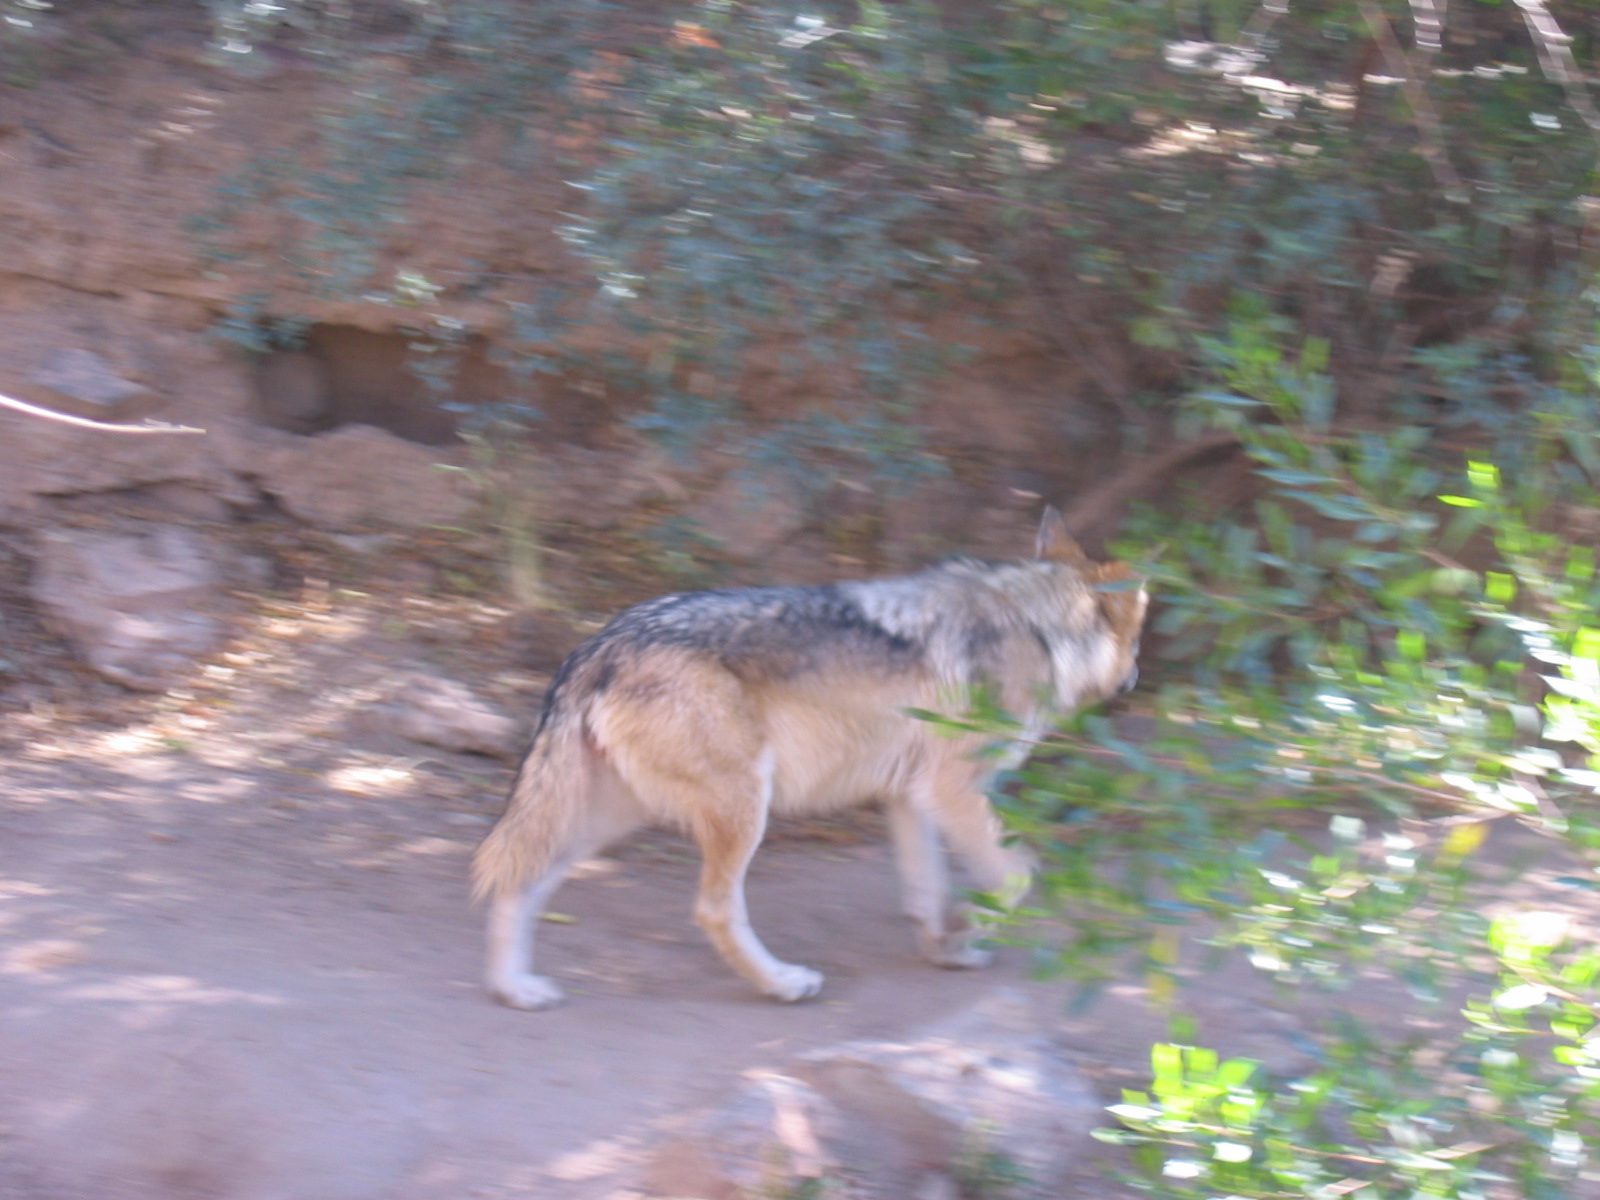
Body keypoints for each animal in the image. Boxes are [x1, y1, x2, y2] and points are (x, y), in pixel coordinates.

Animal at [471, 508, 1147, 1009]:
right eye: (1138, 640)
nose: (1138, 676)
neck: (1041, 627)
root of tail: (600, 644)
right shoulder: (954, 789)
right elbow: (1016, 876)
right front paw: (969, 934)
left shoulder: (911, 794)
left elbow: (927, 890)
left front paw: (946, 948)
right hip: (744, 808)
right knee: (714, 909)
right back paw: (782, 983)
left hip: (604, 821)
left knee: (518, 884)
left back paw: (515, 990)